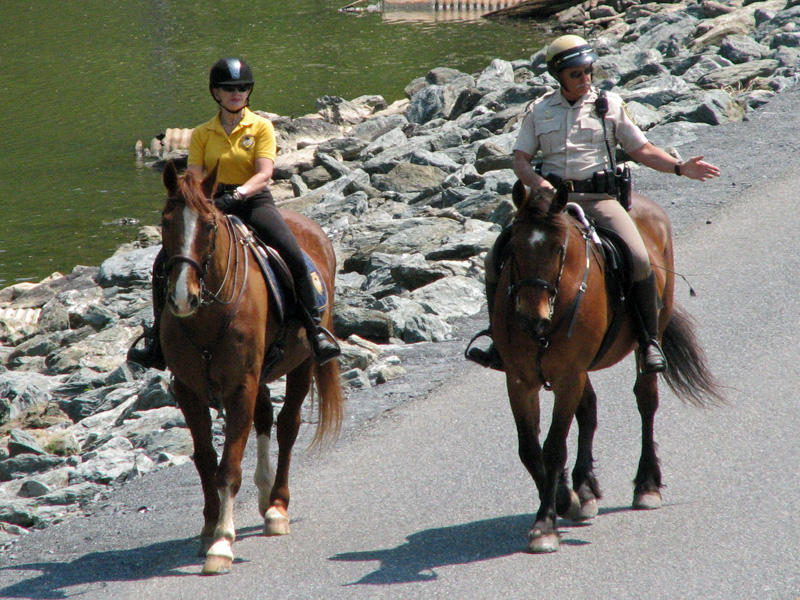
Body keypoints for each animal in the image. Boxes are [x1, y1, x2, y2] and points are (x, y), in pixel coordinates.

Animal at [158, 162, 342, 576]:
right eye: (165, 222)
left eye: (209, 224)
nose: (182, 298)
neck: (206, 317)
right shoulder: (188, 390)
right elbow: (206, 460)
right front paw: (209, 528)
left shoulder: (240, 385)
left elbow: (229, 466)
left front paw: (222, 544)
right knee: (264, 419)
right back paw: (264, 493)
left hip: (303, 363)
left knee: (287, 425)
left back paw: (276, 507)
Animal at [494, 183, 724, 552]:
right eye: (513, 247)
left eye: (559, 249)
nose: (531, 318)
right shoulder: (520, 380)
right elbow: (530, 450)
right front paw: (566, 499)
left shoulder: (568, 376)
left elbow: (553, 448)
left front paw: (545, 525)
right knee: (589, 411)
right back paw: (585, 488)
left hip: (648, 334)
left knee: (645, 402)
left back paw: (646, 485)